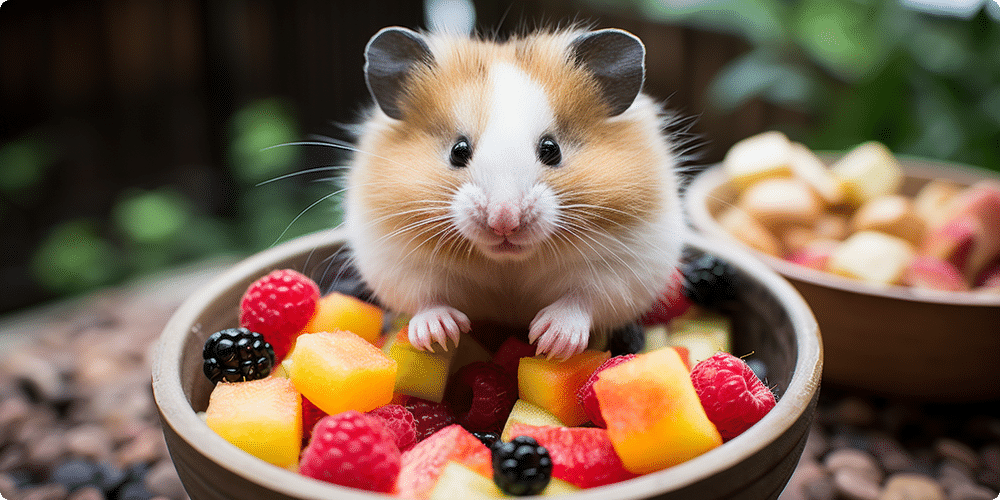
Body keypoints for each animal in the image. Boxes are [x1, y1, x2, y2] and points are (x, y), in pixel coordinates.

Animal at [343, 26, 686, 360]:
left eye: (552, 150)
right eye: (458, 151)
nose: (504, 222)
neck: (508, 263)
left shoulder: (621, 266)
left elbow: (582, 298)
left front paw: (549, 341)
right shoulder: (399, 260)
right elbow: (426, 298)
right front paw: (440, 335)